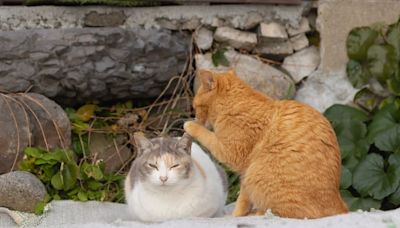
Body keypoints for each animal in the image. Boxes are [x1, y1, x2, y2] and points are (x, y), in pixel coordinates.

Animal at [184, 69, 346, 219]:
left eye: (195, 106)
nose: (195, 116)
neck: (236, 103)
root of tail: (339, 205)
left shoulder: (232, 153)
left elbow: (207, 136)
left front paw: (191, 125)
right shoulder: (245, 171)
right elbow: (244, 199)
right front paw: (239, 214)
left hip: (258, 174)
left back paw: (258, 213)